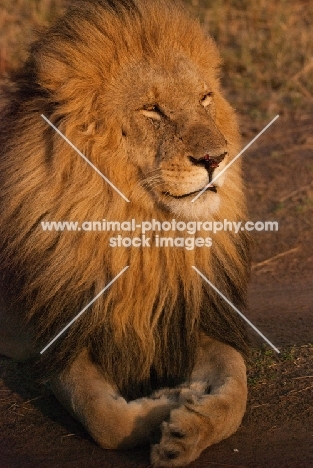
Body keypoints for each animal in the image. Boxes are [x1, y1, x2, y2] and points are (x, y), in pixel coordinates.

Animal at [0, 0, 250, 466]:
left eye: (205, 98)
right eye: (152, 110)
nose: (216, 158)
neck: (146, 233)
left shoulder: (192, 318)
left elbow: (236, 390)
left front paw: (189, 429)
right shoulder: (61, 333)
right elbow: (103, 417)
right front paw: (168, 403)